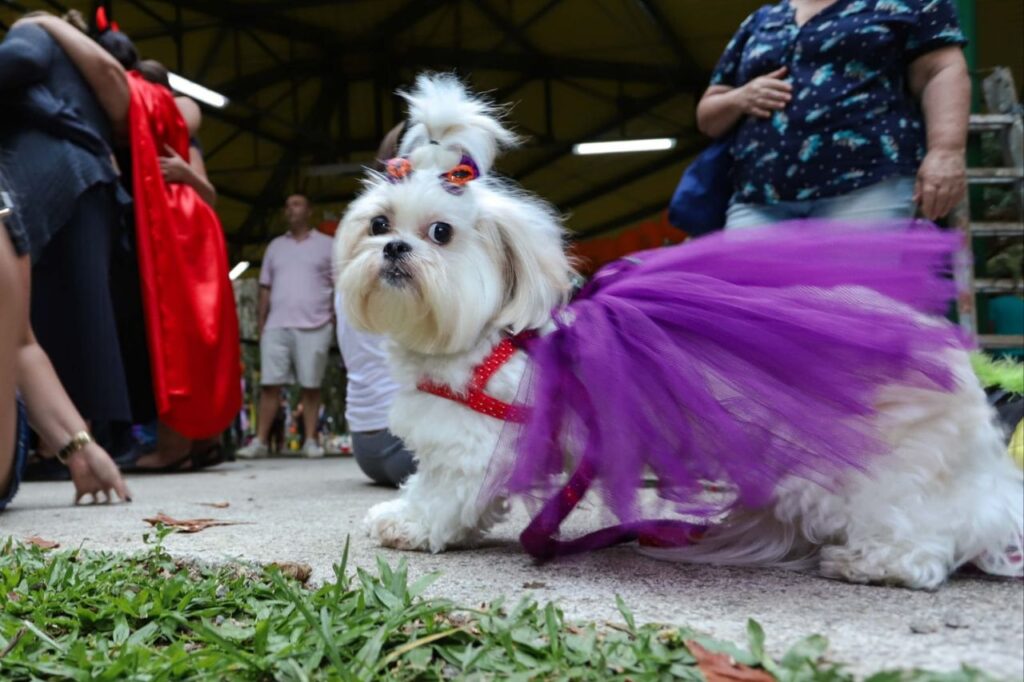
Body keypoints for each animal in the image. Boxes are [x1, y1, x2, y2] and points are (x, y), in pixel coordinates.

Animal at [335, 71, 1024, 585]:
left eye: (441, 232)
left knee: (928, 529)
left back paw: (876, 561)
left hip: (869, 466)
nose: (394, 248)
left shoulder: (475, 443)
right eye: (378, 224)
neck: (486, 335)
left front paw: (408, 524)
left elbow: (444, 495)